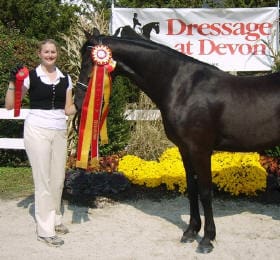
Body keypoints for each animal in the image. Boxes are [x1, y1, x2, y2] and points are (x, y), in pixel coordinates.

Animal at [74, 29, 280, 254]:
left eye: (89, 61)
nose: (77, 101)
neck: (183, 88)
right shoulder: (184, 148)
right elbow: (191, 188)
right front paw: (191, 232)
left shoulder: (200, 150)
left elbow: (205, 192)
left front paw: (207, 239)